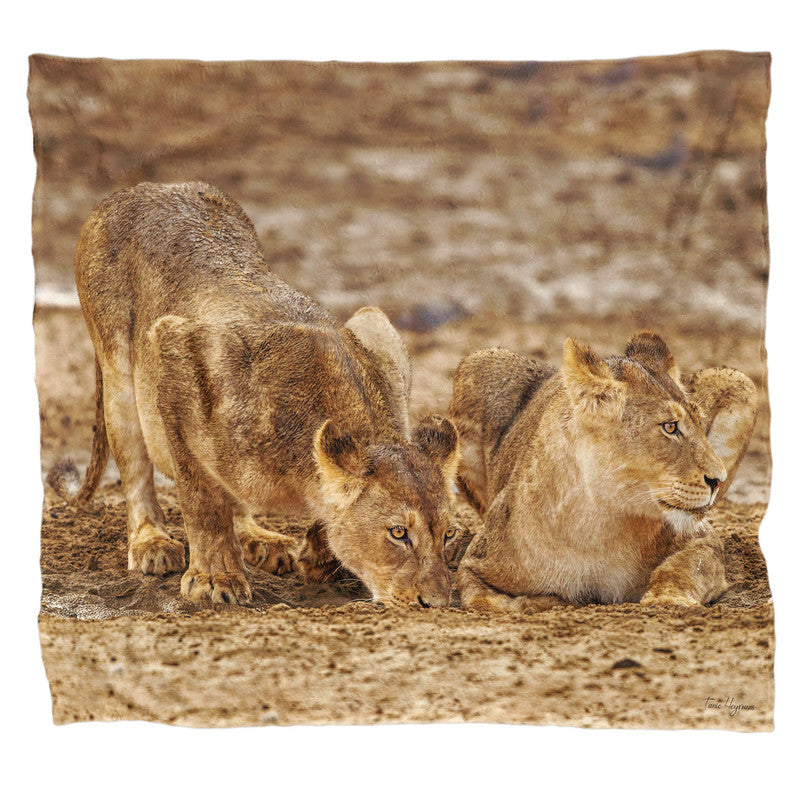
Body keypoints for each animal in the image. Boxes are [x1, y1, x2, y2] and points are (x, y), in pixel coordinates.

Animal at [49, 181, 461, 607]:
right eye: (398, 533)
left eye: (449, 534)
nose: (436, 603)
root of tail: (147, 187)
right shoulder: (176, 345)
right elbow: (202, 497)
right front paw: (216, 578)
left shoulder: (378, 332)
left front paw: (319, 555)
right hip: (118, 372)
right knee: (138, 470)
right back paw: (152, 543)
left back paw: (261, 540)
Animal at [449, 331, 757, 612]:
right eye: (670, 427)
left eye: (699, 424)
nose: (718, 481)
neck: (600, 524)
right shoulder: (476, 562)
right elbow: (487, 601)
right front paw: (550, 599)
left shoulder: (703, 540)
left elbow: (682, 569)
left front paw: (668, 601)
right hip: (477, 363)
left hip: (740, 382)